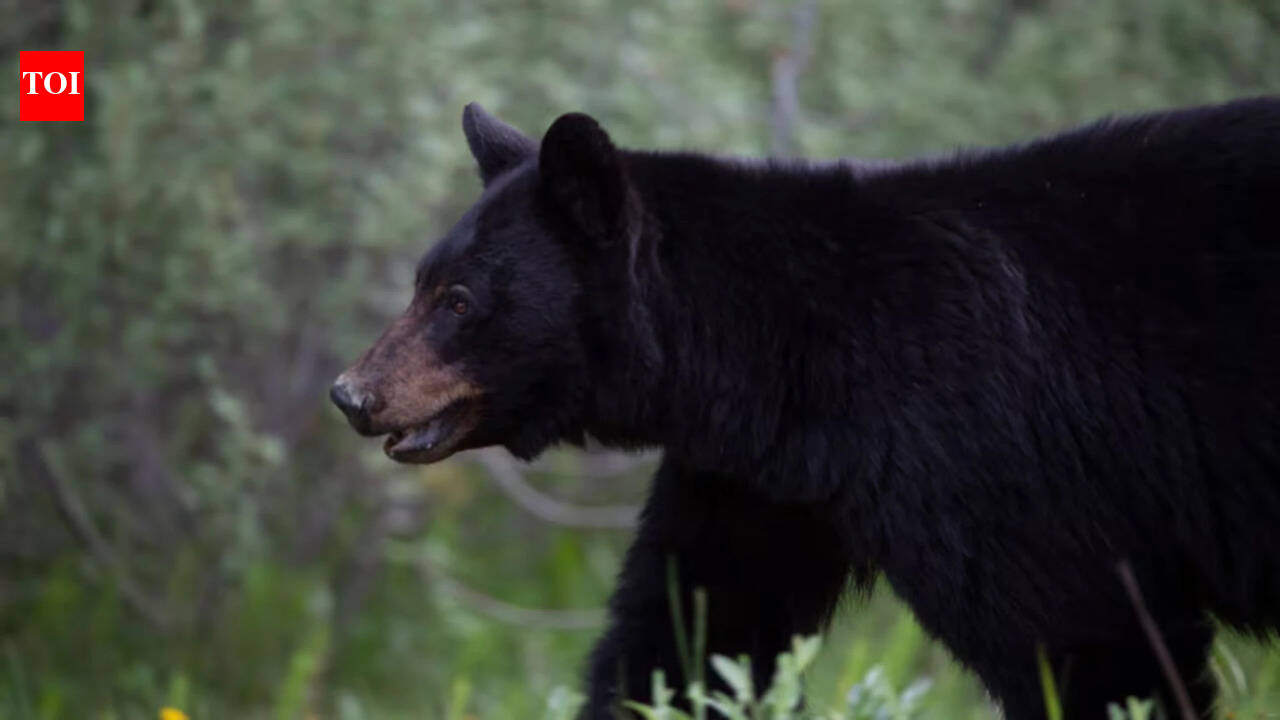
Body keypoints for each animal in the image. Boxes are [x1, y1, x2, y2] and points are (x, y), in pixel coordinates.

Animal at [331, 97, 1280, 719]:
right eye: (421, 282)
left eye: (459, 300)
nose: (350, 394)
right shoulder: (760, 480)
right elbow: (690, 631)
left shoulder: (987, 450)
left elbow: (1085, 639)